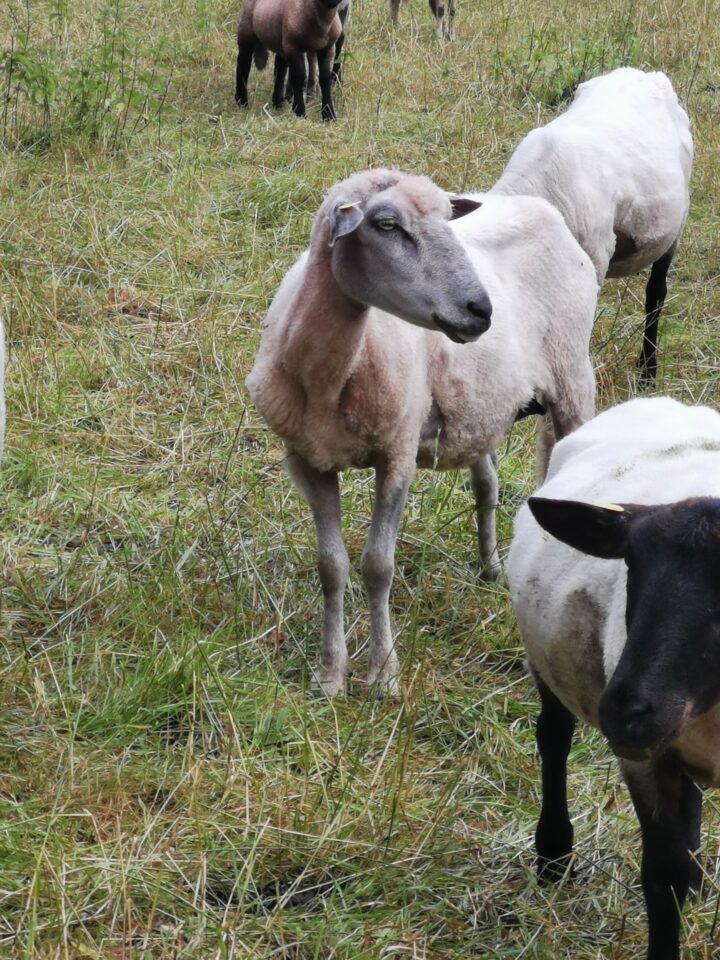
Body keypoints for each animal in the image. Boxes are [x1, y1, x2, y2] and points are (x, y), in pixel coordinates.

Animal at [248, 167, 596, 696]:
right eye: (386, 225)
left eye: (448, 219)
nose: (481, 310)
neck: (329, 376)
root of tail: (540, 207)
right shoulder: (308, 460)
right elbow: (331, 567)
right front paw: (329, 676)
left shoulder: (397, 453)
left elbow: (377, 566)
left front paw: (383, 673)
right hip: (480, 407)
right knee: (487, 483)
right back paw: (490, 567)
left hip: (574, 377)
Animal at [506, 396, 720, 960]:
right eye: (631, 564)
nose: (626, 710)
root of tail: (661, 399)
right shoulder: (643, 763)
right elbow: (662, 880)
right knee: (553, 737)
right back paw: (554, 856)